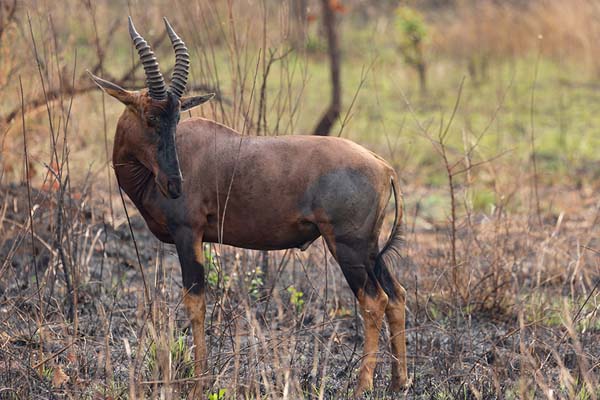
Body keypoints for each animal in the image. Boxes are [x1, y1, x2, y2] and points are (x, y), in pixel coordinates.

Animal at [88, 17, 408, 396]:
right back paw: (400, 382)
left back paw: (362, 387)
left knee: (374, 301)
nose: (175, 185)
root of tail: (384, 166)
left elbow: (195, 301)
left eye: (176, 119)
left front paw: (198, 384)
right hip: (370, 249)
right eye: (152, 118)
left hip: (349, 248)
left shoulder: (188, 233)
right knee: (397, 295)